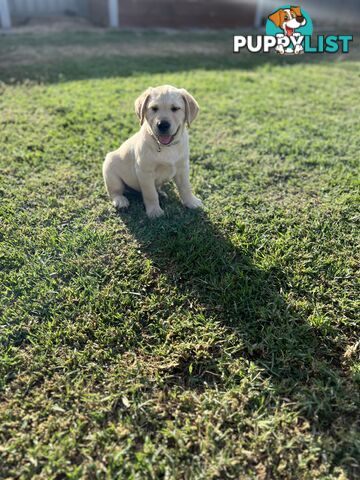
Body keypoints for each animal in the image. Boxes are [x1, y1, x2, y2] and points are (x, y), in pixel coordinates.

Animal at [102, 85, 202, 218]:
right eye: (154, 108)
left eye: (175, 108)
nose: (163, 125)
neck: (166, 147)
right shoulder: (145, 172)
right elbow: (150, 194)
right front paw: (154, 212)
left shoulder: (183, 167)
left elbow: (185, 187)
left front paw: (191, 202)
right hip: (110, 170)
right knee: (115, 191)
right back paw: (120, 200)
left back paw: (161, 193)